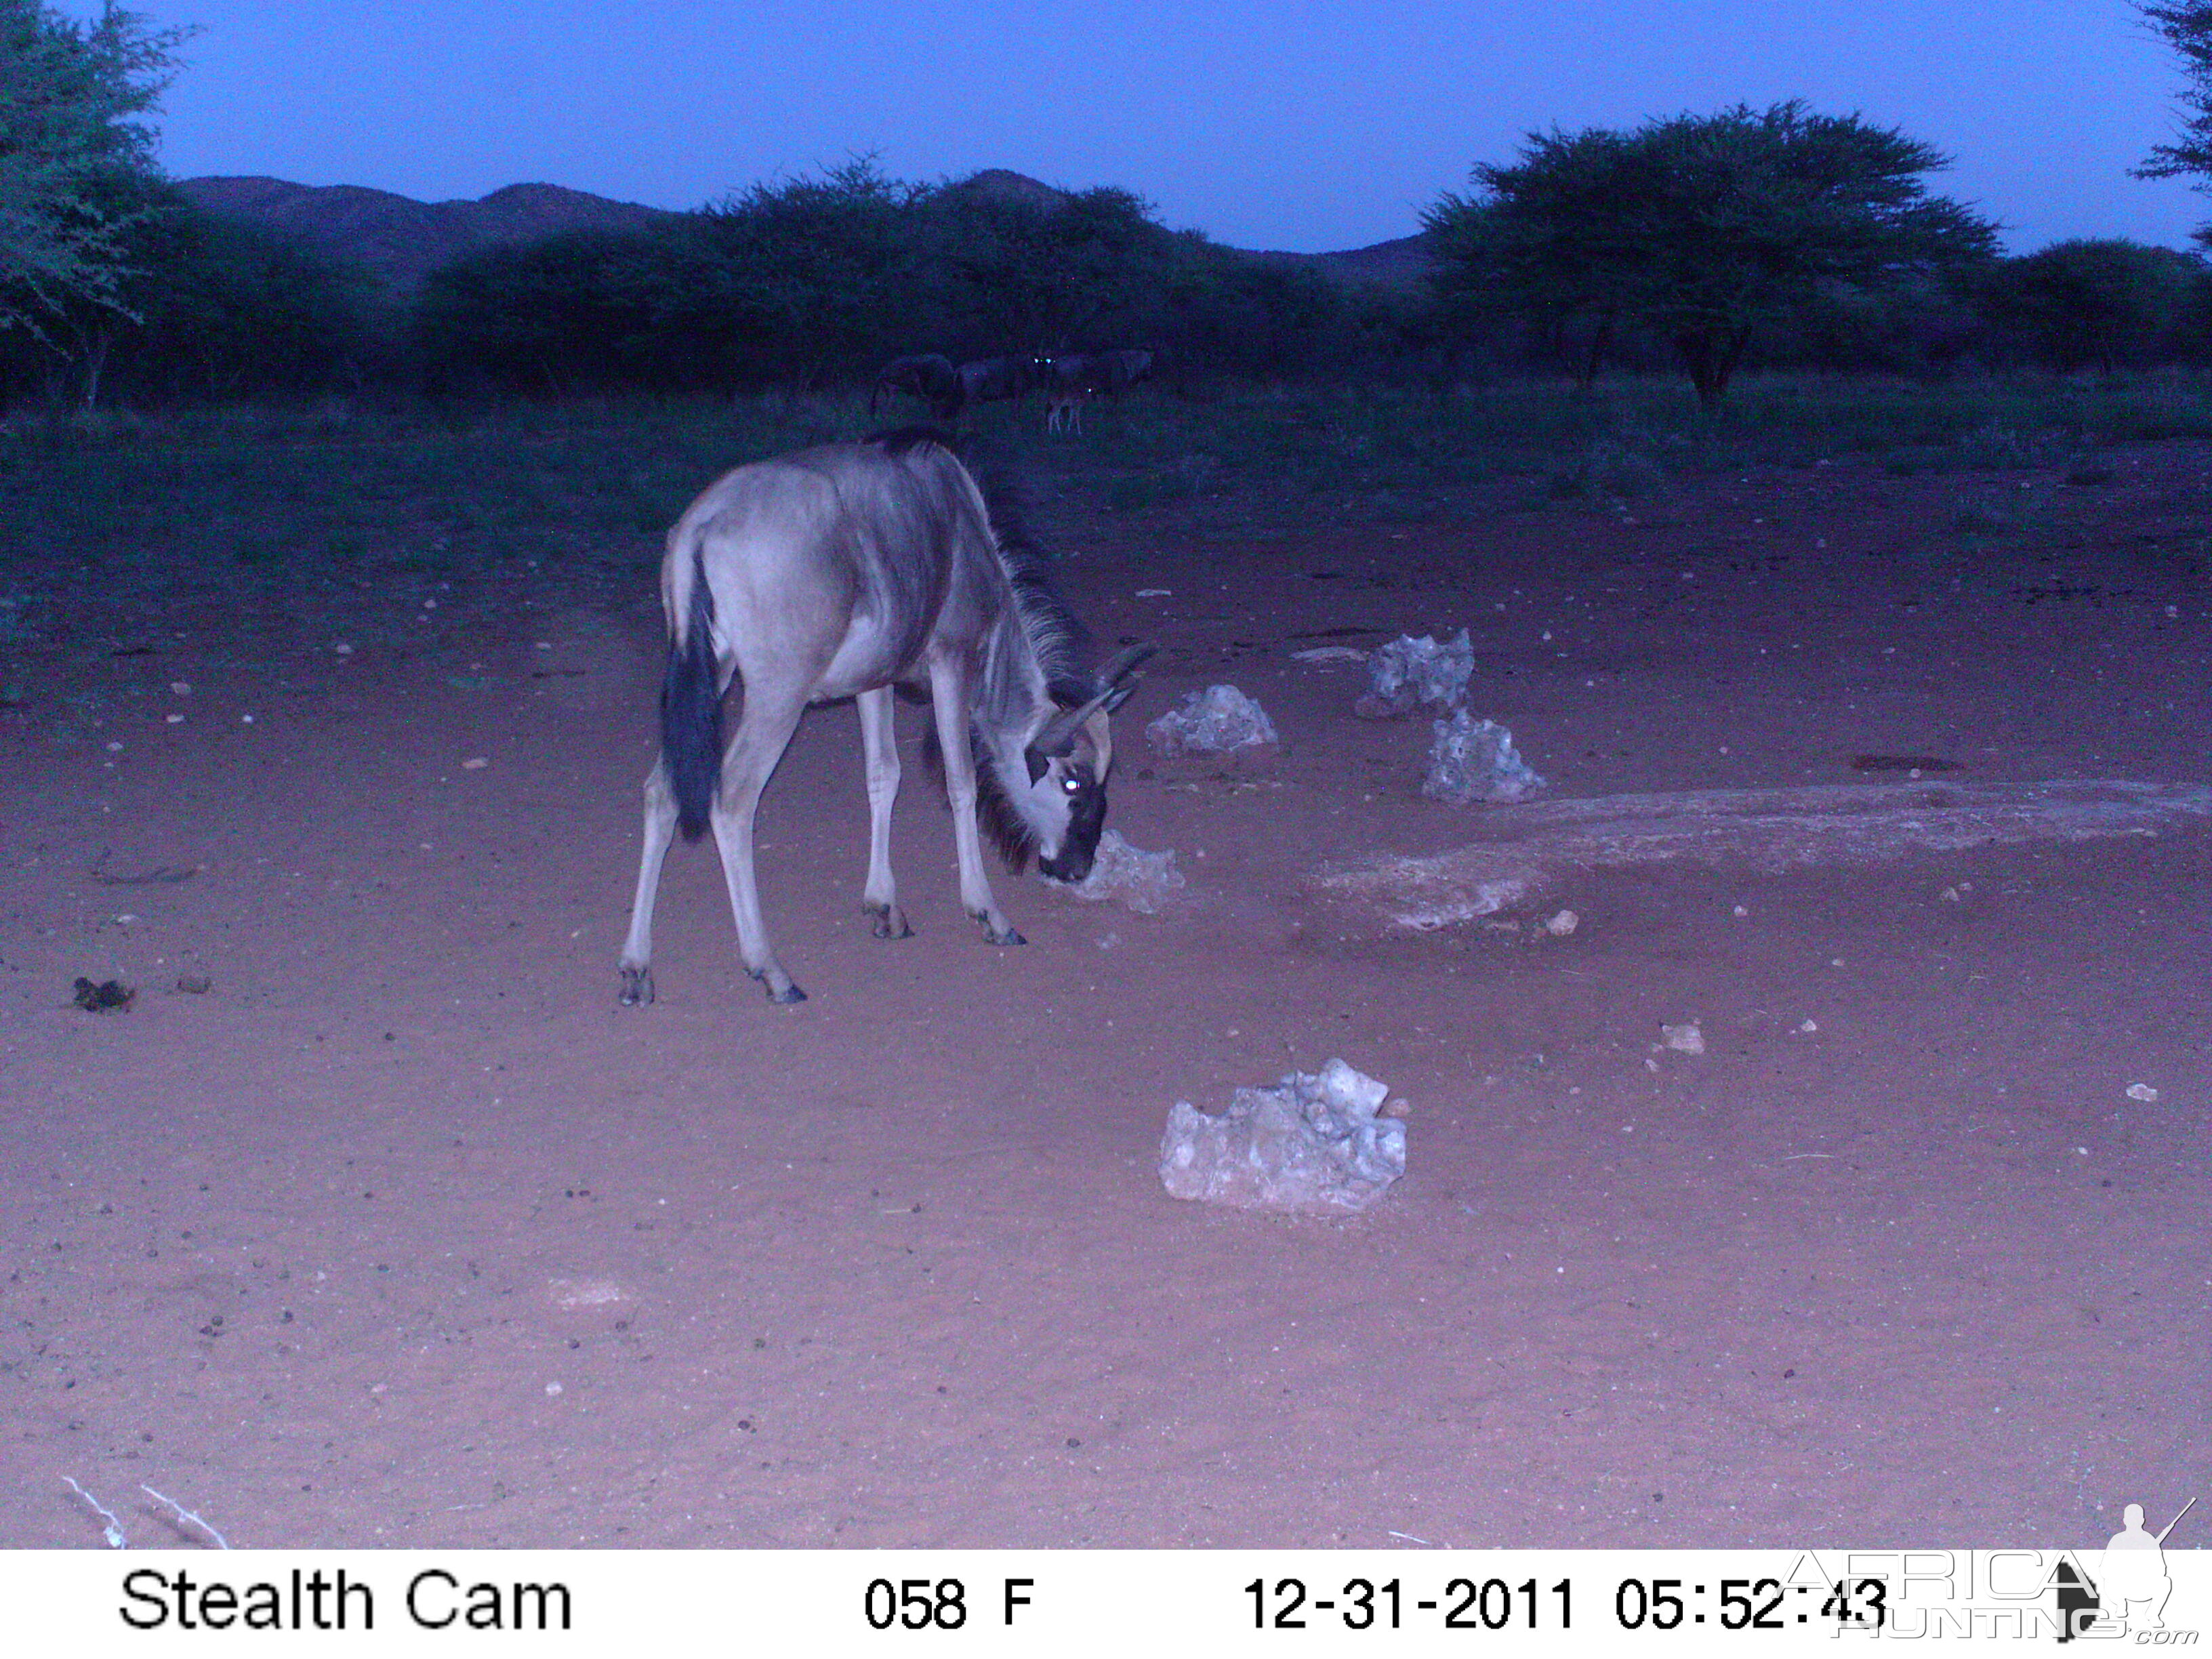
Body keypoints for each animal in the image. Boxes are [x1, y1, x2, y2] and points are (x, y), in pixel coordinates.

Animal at [615, 429, 1150, 1008]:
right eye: (1072, 781)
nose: (1079, 865)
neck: (964, 530)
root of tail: (703, 524)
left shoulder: (873, 682)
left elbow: (883, 776)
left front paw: (885, 907)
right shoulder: (951, 661)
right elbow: (960, 782)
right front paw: (988, 913)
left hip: (711, 672)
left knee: (661, 790)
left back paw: (637, 968)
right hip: (778, 694)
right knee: (733, 798)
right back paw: (771, 969)